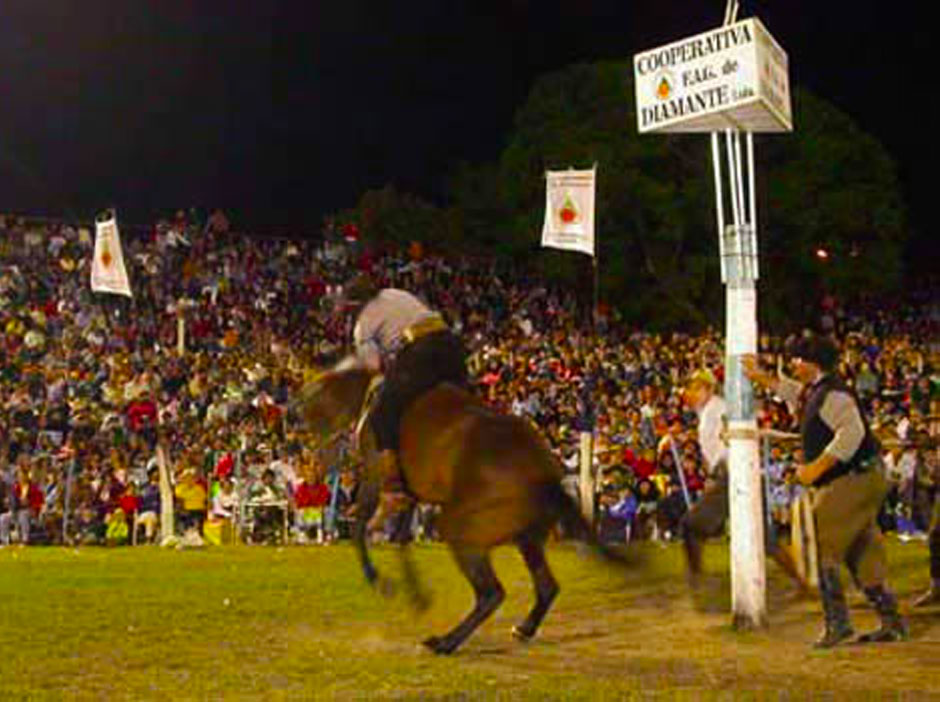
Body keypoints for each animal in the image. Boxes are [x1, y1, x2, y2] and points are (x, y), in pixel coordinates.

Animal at [296, 360, 632, 656]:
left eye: (311, 416)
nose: (322, 463)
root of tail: (544, 472)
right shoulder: (412, 495)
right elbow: (401, 541)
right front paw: (417, 596)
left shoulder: (374, 476)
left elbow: (360, 527)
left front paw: (380, 581)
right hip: (526, 537)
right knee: (546, 586)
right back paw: (523, 629)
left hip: (462, 527)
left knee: (491, 593)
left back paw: (445, 642)